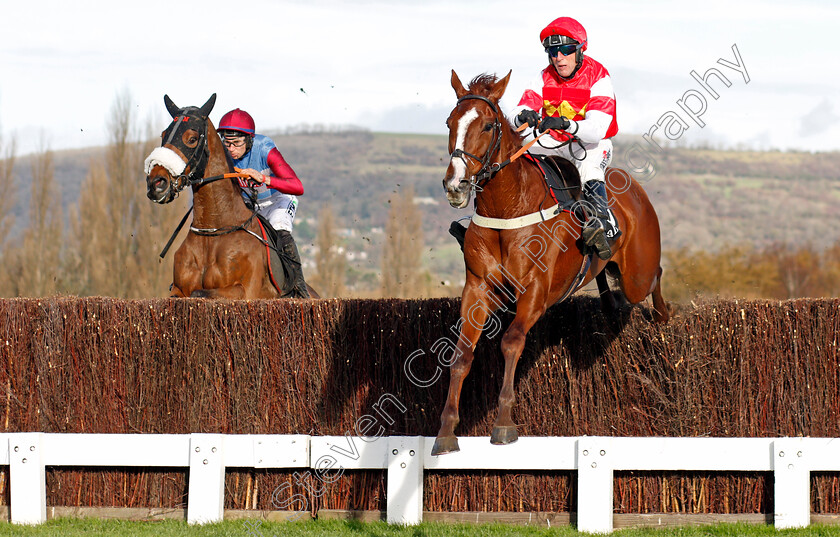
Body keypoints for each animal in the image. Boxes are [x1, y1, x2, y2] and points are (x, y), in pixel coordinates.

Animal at [144, 94, 316, 300]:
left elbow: (199, 292)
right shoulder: (177, 290)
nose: (156, 183)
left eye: (192, 139)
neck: (212, 231)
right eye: (164, 135)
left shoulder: (246, 291)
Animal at [434, 71, 668, 454]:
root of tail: (633, 188)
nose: (455, 184)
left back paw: (662, 315)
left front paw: (503, 423)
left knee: (654, 278)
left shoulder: (535, 291)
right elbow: (462, 354)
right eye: (450, 123)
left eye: (487, 125)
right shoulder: (478, 289)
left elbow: (511, 342)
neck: (508, 208)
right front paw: (446, 431)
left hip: (639, 271)